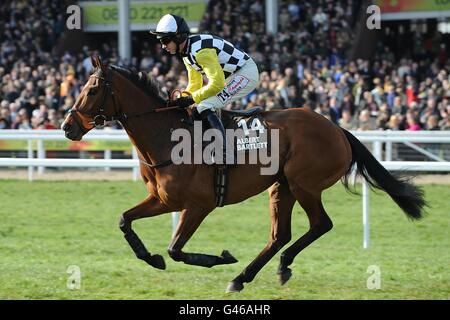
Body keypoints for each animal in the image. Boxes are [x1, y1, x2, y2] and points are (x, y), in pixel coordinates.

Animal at [60, 56, 426, 292]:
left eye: (92, 90)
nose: (67, 127)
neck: (166, 136)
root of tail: (336, 128)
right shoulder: (162, 199)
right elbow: (125, 220)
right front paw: (151, 258)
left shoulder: (199, 205)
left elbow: (176, 249)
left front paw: (220, 258)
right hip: (281, 187)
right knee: (280, 235)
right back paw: (244, 277)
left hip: (304, 184)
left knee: (320, 224)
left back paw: (271, 267)